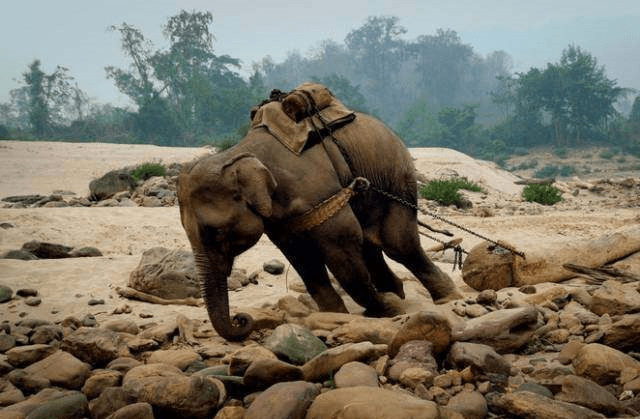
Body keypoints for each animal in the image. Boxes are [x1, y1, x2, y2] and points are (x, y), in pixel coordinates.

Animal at [178, 83, 462, 342]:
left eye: (216, 232)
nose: (240, 318)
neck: (238, 153)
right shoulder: (282, 222)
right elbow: (304, 260)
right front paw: (340, 314)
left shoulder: (321, 193)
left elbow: (342, 250)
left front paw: (388, 308)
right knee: (371, 244)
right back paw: (399, 293)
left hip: (396, 176)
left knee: (398, 245)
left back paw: (446, 298)